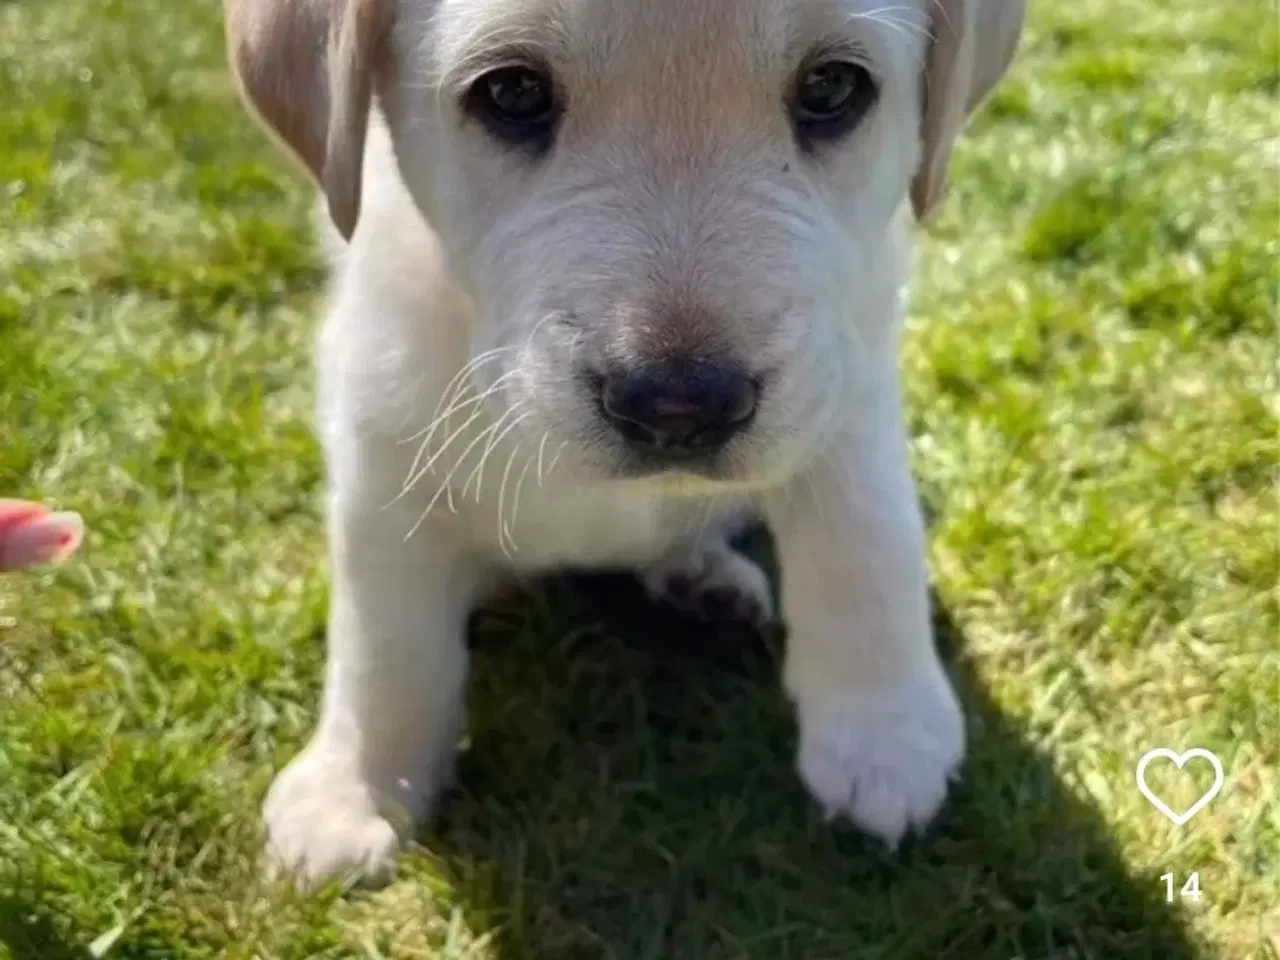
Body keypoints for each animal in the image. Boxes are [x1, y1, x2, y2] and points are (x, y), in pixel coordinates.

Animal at [225, 0, 1024, 896]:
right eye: (512, 93)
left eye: (831, 86)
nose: (678, 410)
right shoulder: (379, 448)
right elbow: (383, 650)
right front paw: (355, 790)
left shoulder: (849, 395)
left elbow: (865, 556)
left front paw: (883, 738)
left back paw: (705, 580)